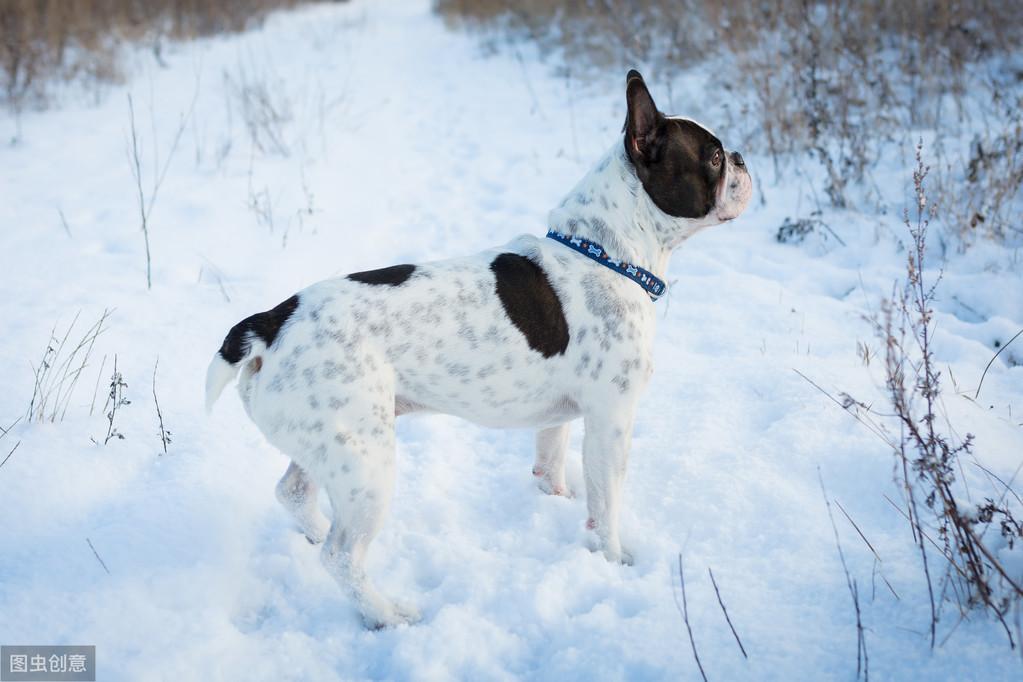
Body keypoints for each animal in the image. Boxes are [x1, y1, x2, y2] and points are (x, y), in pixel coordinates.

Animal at [205, 70, 752, 629]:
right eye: (712, 157)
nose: (740, 158)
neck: (608, 253)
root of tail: (270, 323)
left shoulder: (559, 420)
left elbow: (550, 462)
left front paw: (555, 500)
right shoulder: (611, 422)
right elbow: (606, 503)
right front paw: (614, 560)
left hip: (329, 444)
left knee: (294, 493)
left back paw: (316, 532)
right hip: (366, 465)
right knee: (342, 557)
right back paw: (389, 615)